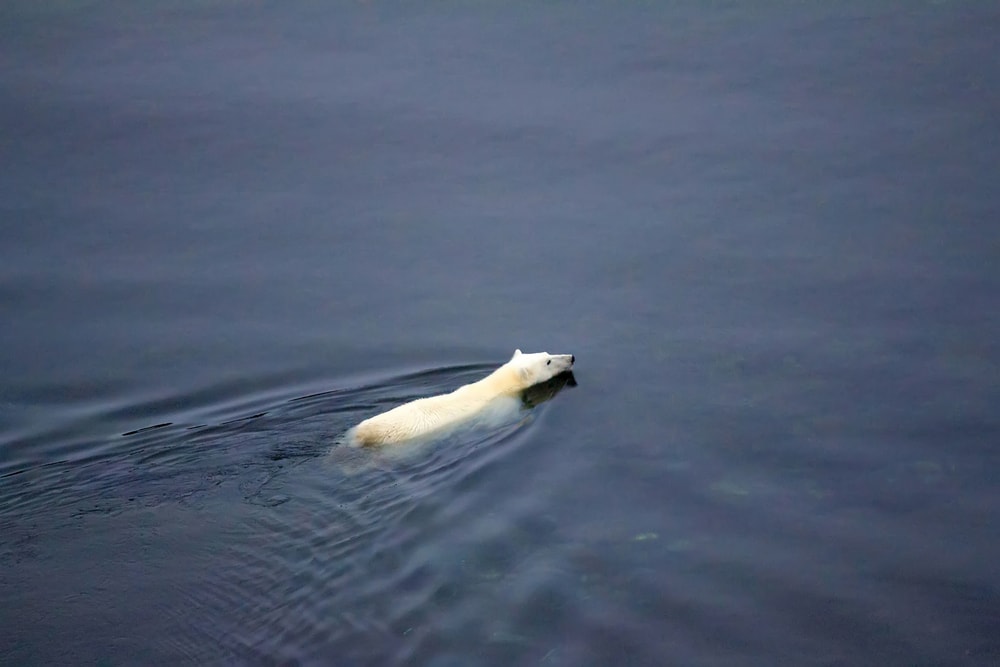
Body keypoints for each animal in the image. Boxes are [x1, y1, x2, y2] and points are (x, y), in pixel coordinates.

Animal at [349, 349, 575, 447]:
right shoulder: (500, 408)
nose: (571, 357)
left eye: (547, 353)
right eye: (548, 361)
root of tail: (360, 436)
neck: (495, 386)